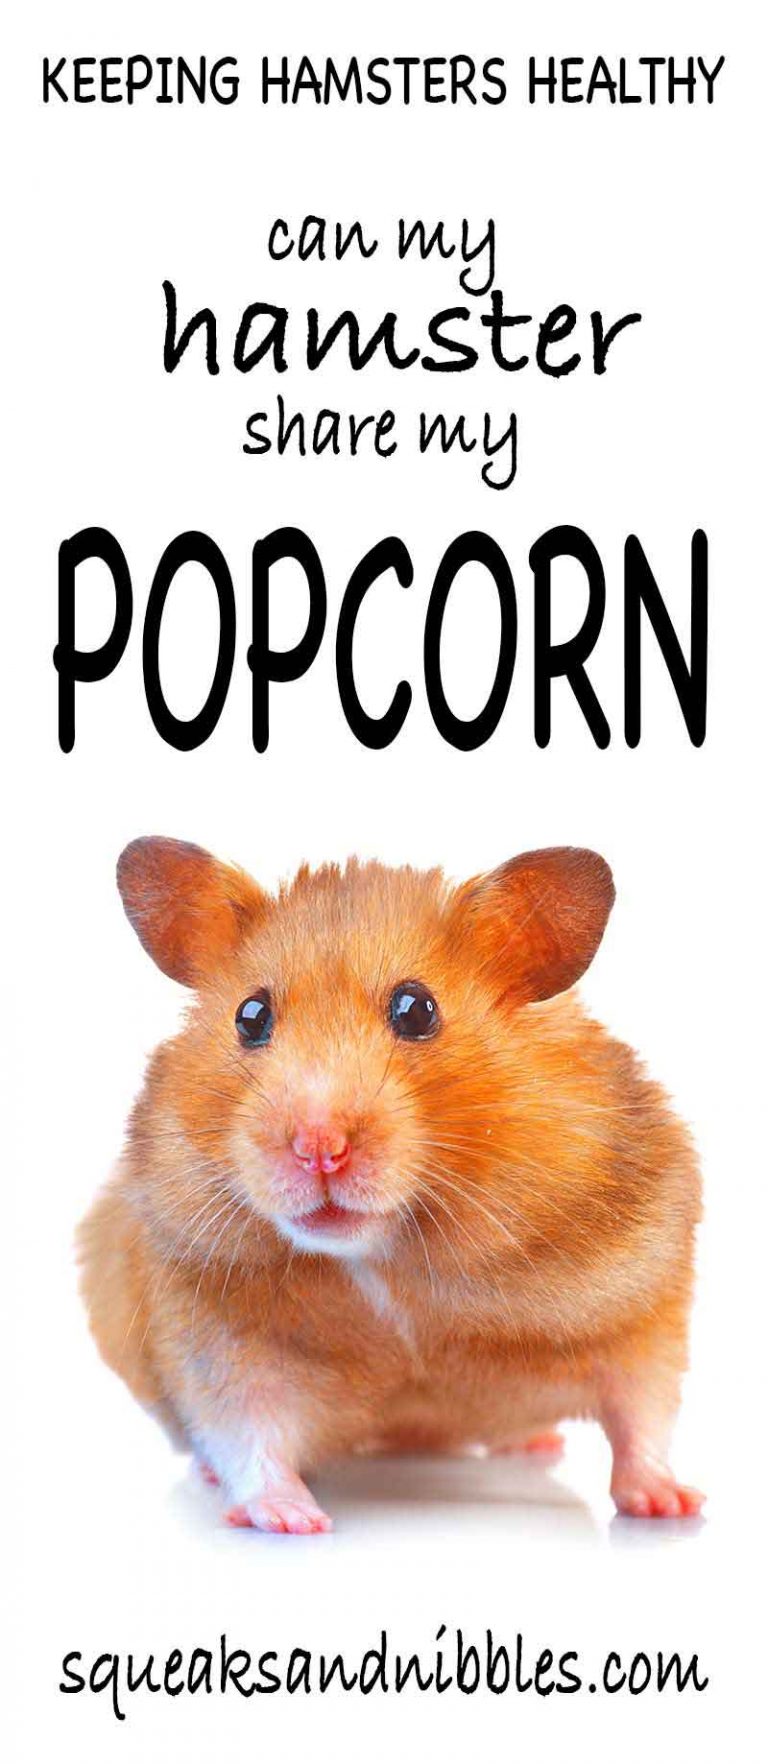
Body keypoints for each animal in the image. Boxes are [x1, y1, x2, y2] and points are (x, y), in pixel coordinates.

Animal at [79, 837, 703, 1533]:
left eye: (416, 1009)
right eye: (250, 1016)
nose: (318, 1147)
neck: (387, 1256)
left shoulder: (645, 1302)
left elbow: (643, 1412)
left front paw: (672, 1504)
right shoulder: (218, 1337)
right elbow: (247, 1430)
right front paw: (295, 1520)